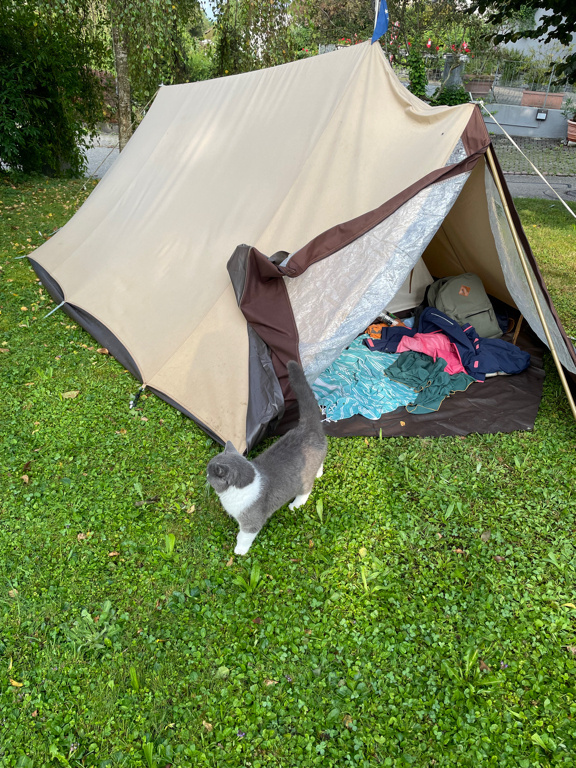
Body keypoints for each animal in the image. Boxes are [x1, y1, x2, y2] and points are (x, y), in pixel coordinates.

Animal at [207, 364, 326, 556]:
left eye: (209, 473)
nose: (205, 475)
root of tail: (307, 426)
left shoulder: (251, 521)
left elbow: (245, 536)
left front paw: (239, 551)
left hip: (303, 480)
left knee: (306, 490)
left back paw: (296, 504)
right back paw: (320, 473)